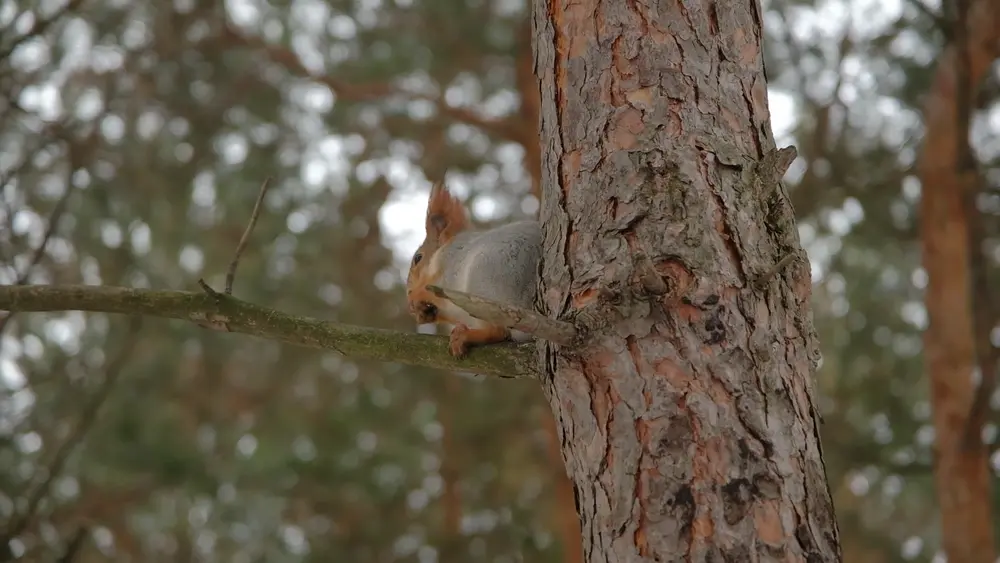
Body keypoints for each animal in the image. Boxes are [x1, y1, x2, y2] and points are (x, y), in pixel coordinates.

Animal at [406, 183, 544, 360]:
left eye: (418, 258)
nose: (409, 290)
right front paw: (422, 314)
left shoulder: (451, 265)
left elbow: (440, 293)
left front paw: (415, 297)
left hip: (486, 283)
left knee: (498, 331)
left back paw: (465, 336)